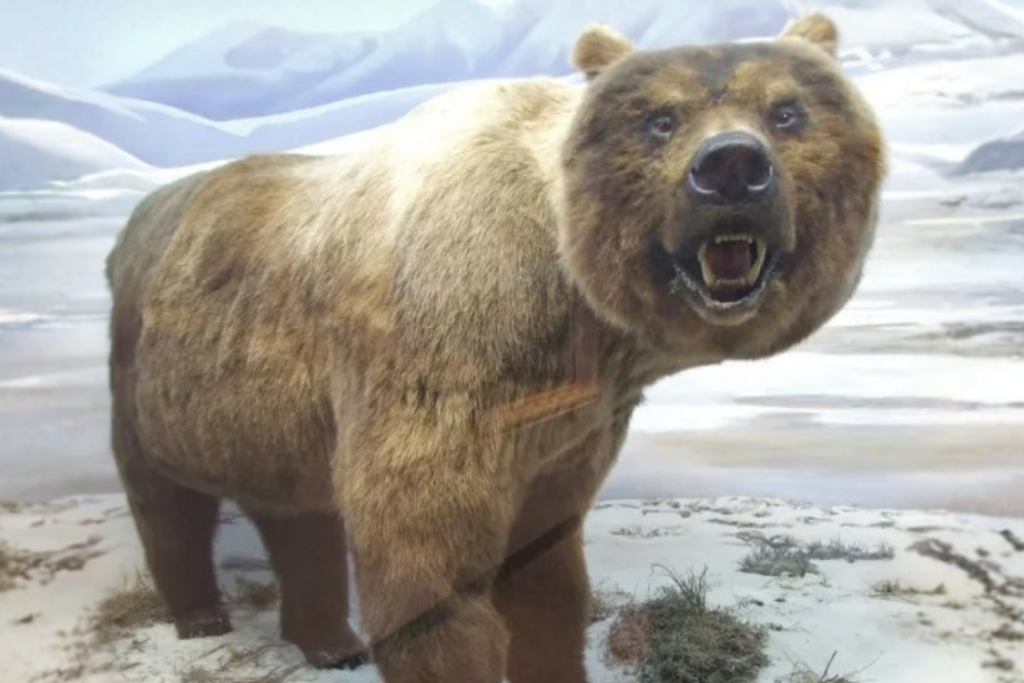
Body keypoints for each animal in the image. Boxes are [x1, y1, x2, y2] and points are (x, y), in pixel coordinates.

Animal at [104, 12, 885, 683]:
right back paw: (202, 617)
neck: (577, 317)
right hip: (154, 373)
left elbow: (545, 569)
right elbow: (431, 575)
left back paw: (328, 641)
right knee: (167, 503)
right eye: (661, 119)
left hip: (269, 414)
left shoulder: (569, 427)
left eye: (786, 111)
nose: (730, 167)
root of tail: (133, 220)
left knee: (296, 516)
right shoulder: (445, 365)